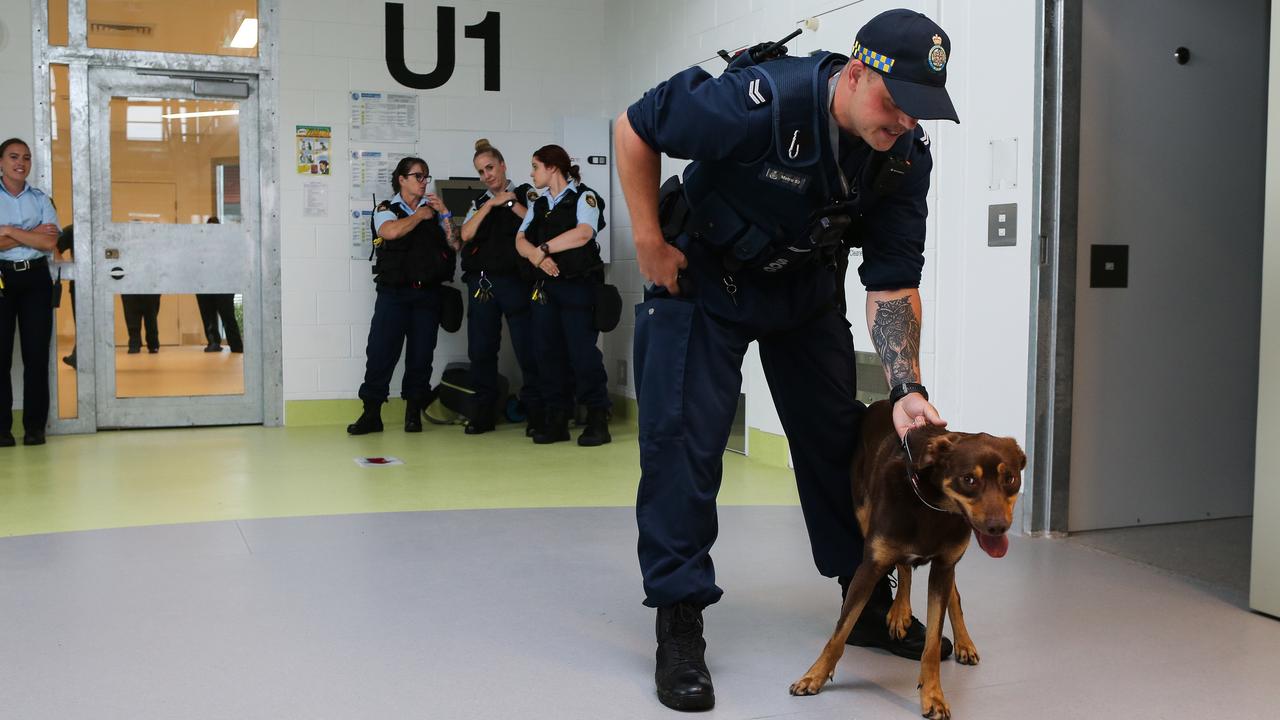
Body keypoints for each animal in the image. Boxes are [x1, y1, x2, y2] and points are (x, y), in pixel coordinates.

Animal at [783, 397, 1024, 717]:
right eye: (969, 479)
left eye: (1010, 478)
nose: (998, 527)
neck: (932, 506)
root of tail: (885, 400)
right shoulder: (870, 565)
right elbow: (839, 633)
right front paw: (814, 676)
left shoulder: (944, 567)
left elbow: (932, 643)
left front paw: (933, 695)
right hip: (864, 514)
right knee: (902, 568)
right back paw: (899, 612)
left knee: (950, 592)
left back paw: (961, 641)